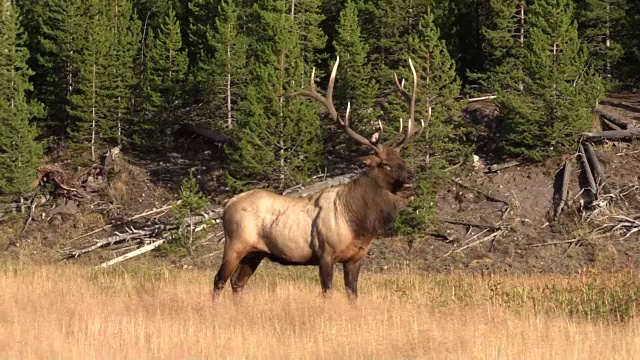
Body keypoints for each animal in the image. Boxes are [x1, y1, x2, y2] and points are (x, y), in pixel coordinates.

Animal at [214, 56, 424, 300]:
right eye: (385, 164)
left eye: (401, 157)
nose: (411, 175)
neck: (359, 223)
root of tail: (227, 204)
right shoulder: (326, 253)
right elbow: (328, 292)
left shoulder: (356, 257)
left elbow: (353, 294)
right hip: (235, 243)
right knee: (219, 280)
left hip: (255, 253)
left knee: (237, 283)